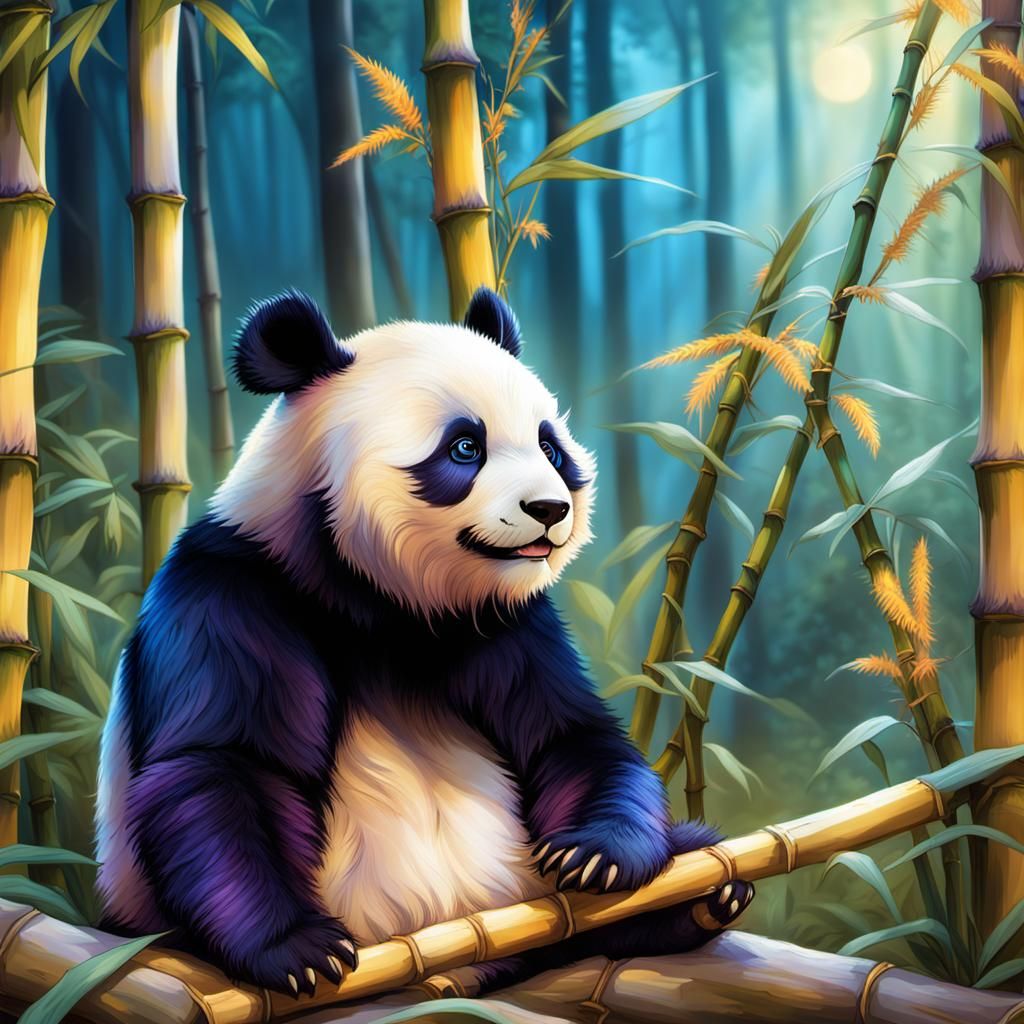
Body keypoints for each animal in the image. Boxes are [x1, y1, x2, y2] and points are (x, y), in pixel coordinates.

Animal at [94, 288, 752, 997]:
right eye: (465, 447)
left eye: (550, 448)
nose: (550, 510)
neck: (386, 603)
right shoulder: (233, 595)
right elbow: (224, 763)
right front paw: (298, 948)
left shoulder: (505, 623)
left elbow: (569, 736)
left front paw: (598, 854)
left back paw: (704, 891)